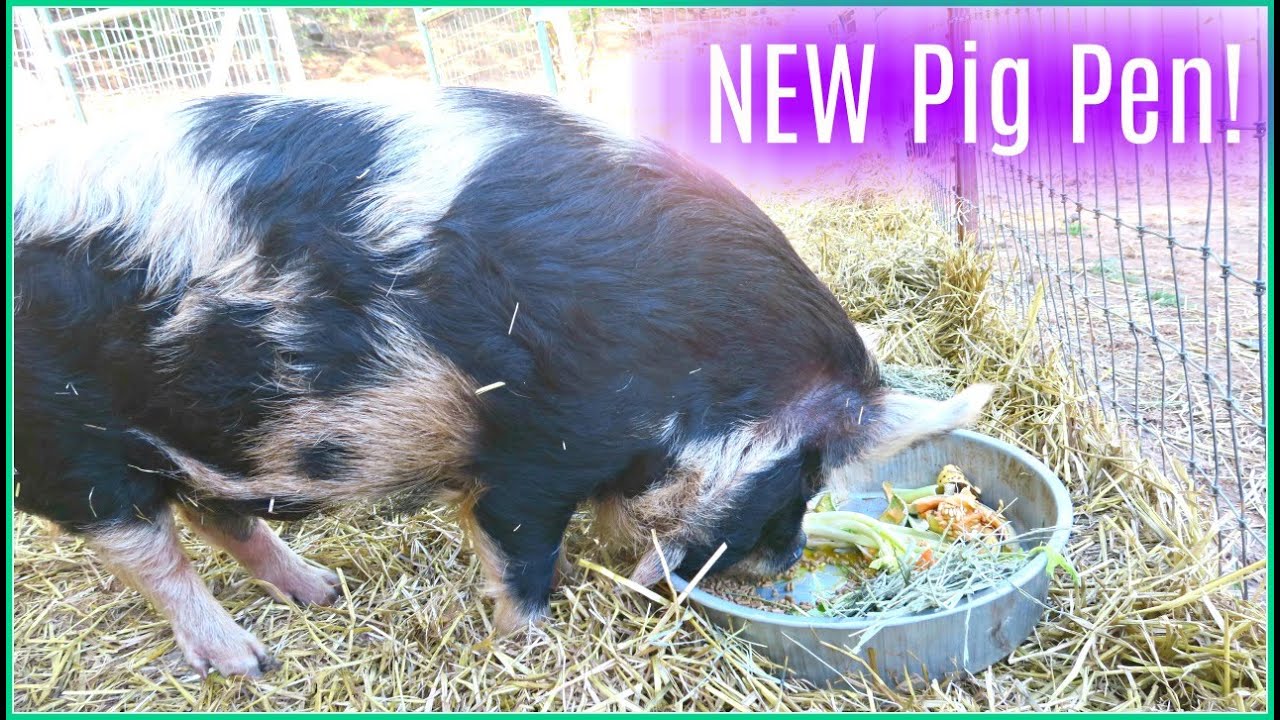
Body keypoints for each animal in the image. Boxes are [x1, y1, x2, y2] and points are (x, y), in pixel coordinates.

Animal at [13, 89, 992, 677]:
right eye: (807, 471)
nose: (787, 560)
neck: (694, 368)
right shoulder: (534, 453)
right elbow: (519, 558)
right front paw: (534, 648)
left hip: (213, 430)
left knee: (221, 516)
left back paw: (325, 592)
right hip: (71, 447)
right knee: (148, 550)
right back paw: (250, 662)